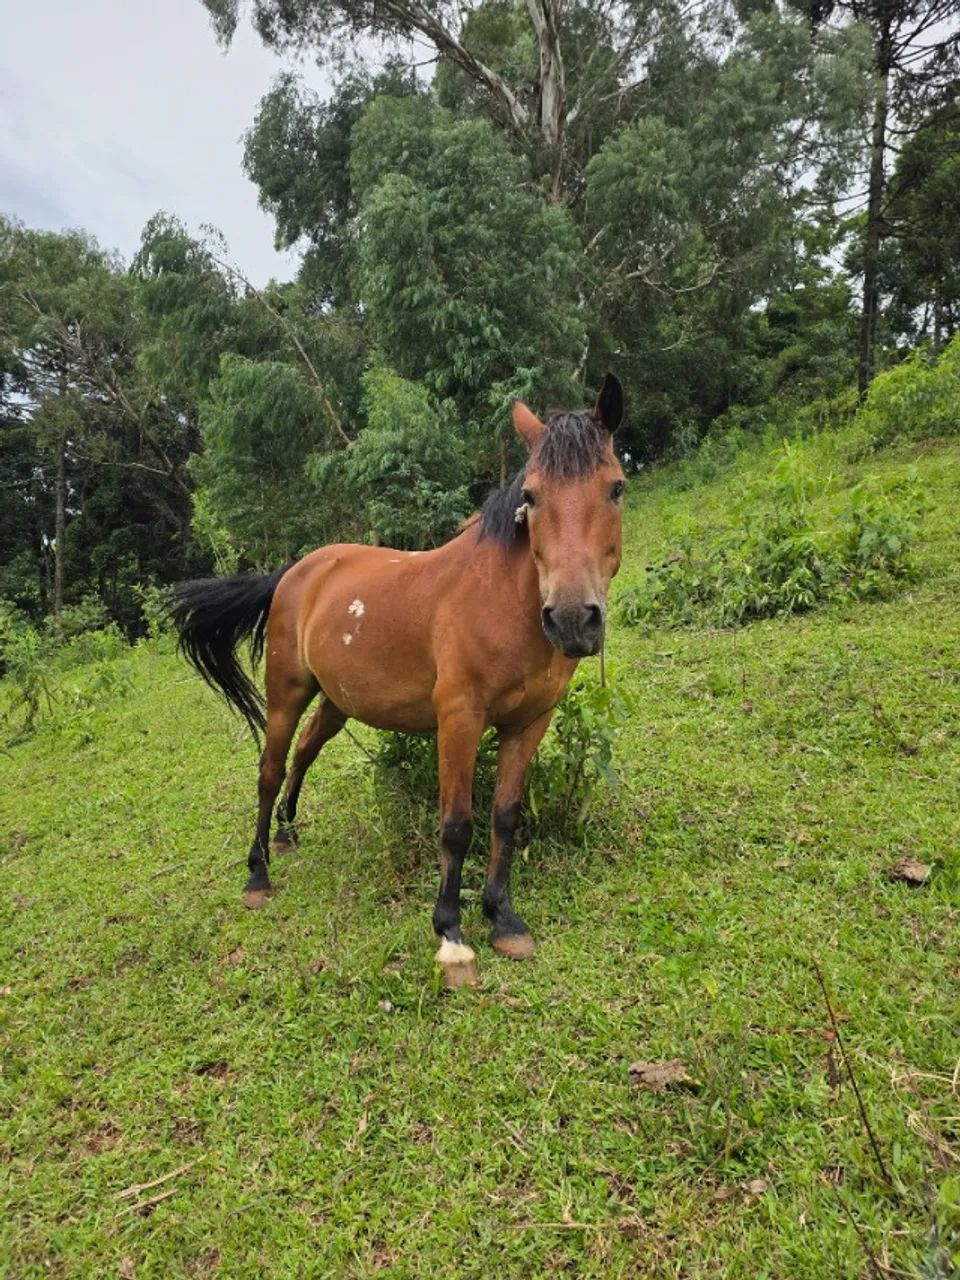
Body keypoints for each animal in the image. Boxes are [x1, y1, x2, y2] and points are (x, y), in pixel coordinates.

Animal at [170, 374, 625, 986]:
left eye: (616, 488)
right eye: (531, 496)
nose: (573, 618)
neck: (501, 603)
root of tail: (295, 572)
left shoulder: (530, 722)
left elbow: (505, 816)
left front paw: (503, 918)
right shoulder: (459, 721)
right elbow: (456, 825)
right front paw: (451, 936)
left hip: (336, 703)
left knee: (304, 753)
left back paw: (288, 834)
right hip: (287, 694)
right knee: (269, 770)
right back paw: (258, 873)